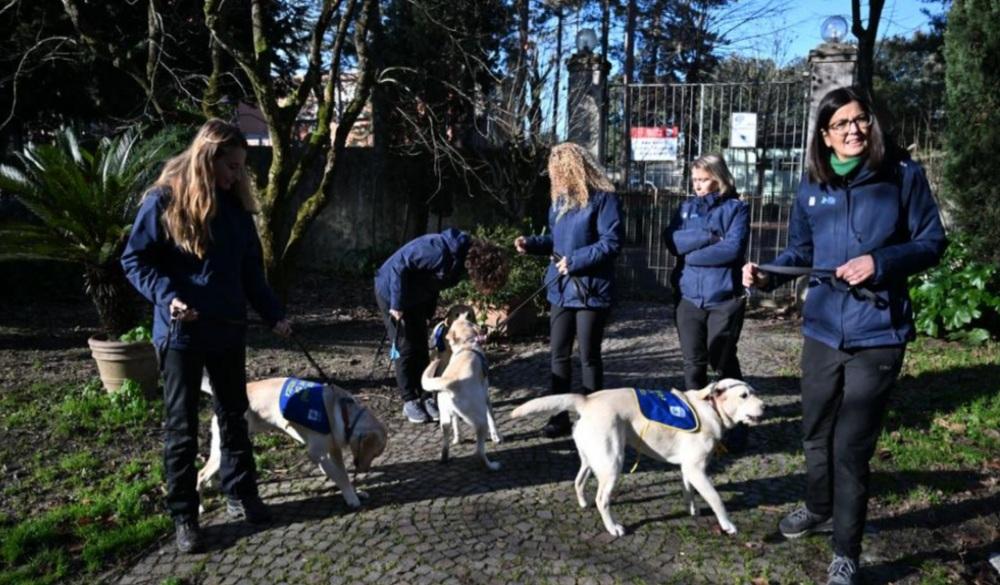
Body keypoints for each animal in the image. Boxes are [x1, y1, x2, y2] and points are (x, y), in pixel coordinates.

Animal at [198, 378, 386, 506]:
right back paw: (200, 507)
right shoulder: (317, 454)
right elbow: (340, 476)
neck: (342, 412)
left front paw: (355, 492)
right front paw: (352, 498)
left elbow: (344, 474)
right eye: (375, 453)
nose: (365, 470)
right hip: (224, 447)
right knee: (200, 475)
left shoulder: (334, 451)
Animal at [420, 310, 500, 470]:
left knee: (445, 444)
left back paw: (445, 458)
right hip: (480, 421)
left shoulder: (452, 415)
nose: (484, 328)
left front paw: (458, 438)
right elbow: (492, 418)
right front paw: (496, 437)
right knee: (479, 452)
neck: (466, 345)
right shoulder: (486, 396)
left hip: (444, 420)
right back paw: (491, 466)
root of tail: (450, 382)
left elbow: (456, 424)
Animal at [516, 378, 764, 540]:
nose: (765, 406)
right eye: (744, 396)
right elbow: (716, 499)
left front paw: (692, 510)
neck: (709, 408)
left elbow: (688, 491)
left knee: (578, 481)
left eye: (754, 392)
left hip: (591, 459)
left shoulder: (688, 468)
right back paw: (613, 528)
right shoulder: (696, 469)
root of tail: (586, 400)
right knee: (602, 499)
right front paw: (727, 525)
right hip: (613, 462)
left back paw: (583, 503)